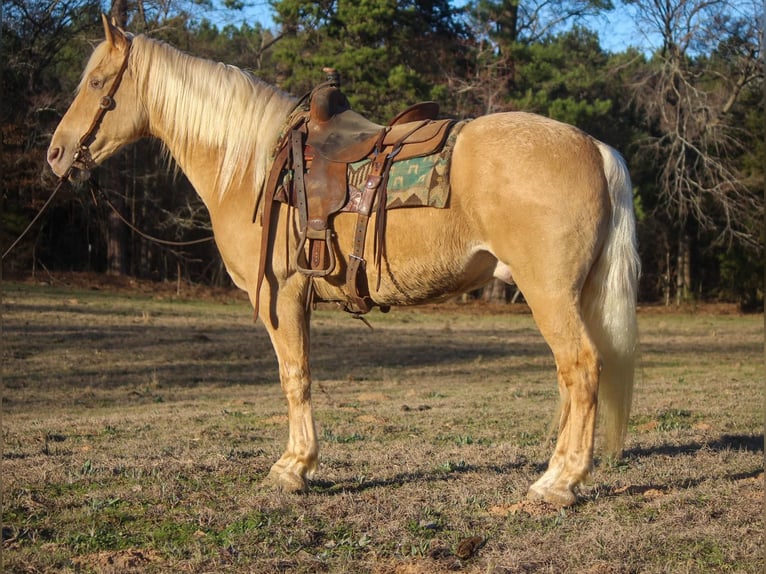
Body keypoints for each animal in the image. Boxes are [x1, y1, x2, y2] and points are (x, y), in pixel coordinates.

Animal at [45, 16, 640, 508]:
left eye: (97, 84)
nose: (56, 153)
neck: (252, 164)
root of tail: (595, 147)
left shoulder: (281, 294)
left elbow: (295, 375)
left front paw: (293, 468)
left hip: (549, 293)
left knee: (582, 369)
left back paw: (557, 483)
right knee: (571, 379)